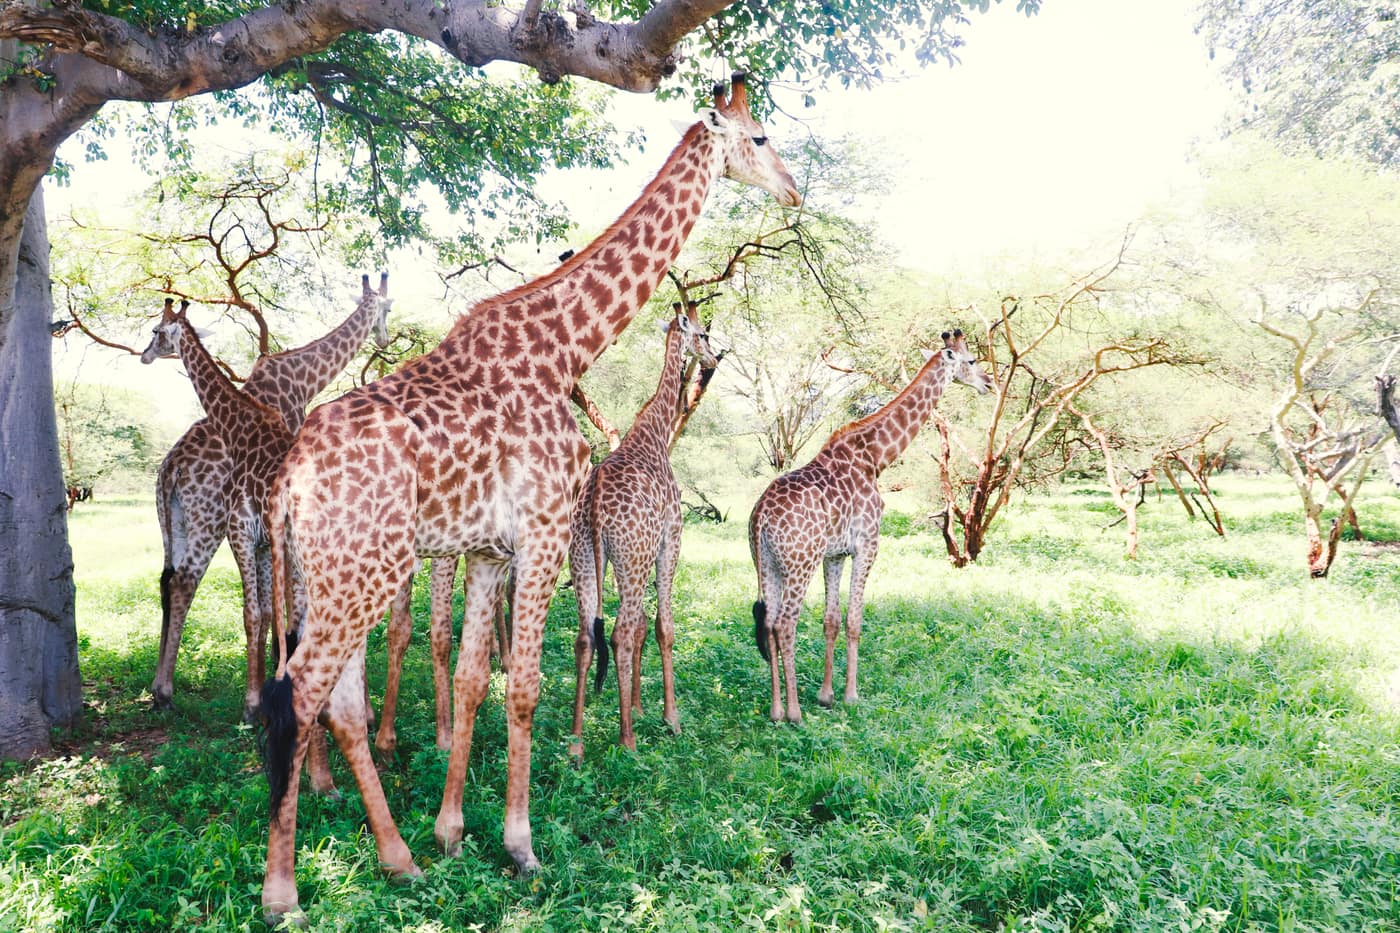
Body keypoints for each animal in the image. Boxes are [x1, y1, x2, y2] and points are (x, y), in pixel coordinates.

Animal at [144, 276, 392, 715]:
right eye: (388, 309)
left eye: (156, 331)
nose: (384, 337)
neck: (302, 376)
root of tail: (170, 468)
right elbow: (275, 606)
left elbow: (275, 606)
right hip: (205, 523)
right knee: (182, 583)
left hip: (176, 523)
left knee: (169, 582)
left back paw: (162, 688)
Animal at [568, 305, 719, 756]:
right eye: (703, 334)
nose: (712, 360)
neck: (655, 429)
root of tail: (596, 500)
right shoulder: (671, 537)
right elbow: (662, 626)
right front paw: (669, 717)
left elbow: (640, 627)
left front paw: (636, 705)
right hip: (630, 556)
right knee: (618, 635)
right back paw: (628, 741)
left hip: (585, 559)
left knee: (587, 637)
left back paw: (577, 743)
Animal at [748, 330, 991, 725]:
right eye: (971, 361)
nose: (988, 383)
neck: (875, 458)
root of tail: (761, 518)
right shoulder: (868, 545)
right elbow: (854, 619)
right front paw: (851, 695)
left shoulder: (834, 554)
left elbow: (831, 619)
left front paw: (826, 695)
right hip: (799, 563)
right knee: (785, 624)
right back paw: (794, 713)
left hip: (767, 563)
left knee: (768, 622)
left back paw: (775, 710)